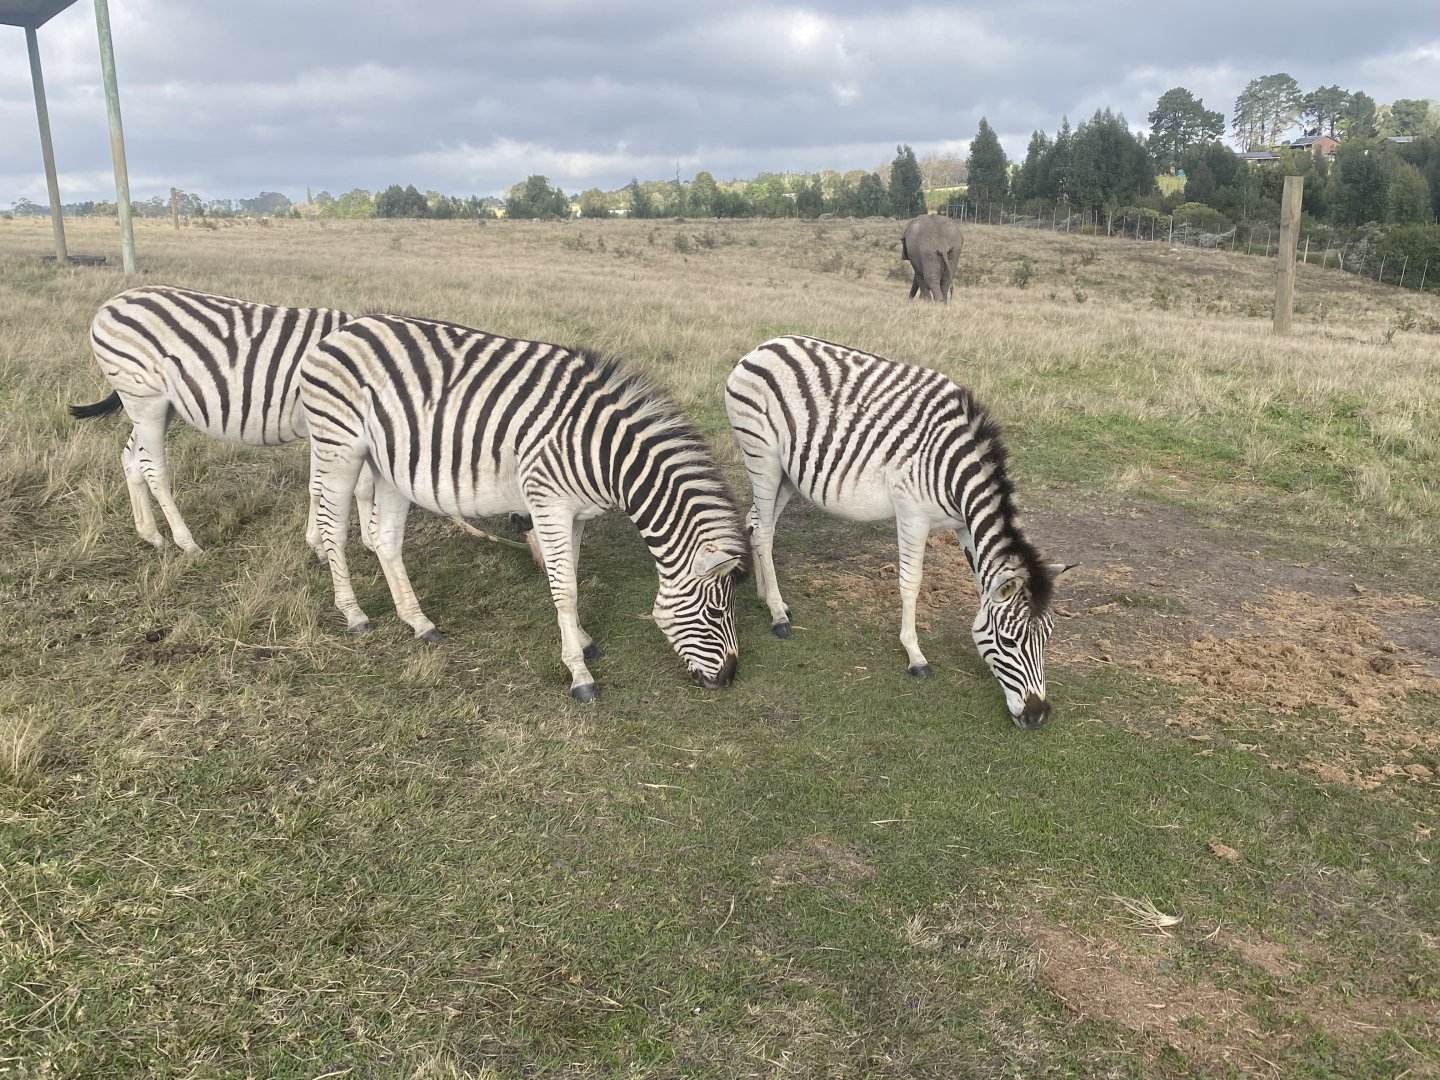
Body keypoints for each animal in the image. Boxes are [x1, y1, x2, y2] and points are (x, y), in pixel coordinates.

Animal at [70, 285, 356, 556]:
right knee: (154, 470)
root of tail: (110, 304)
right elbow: (325, 487)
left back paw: (151, 535)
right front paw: (321, 546)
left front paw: (320, 543)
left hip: (155, 406)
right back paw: (187, 543)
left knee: (132, 459)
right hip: (145, 401)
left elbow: (321, 486)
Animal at [298, 314, 747, 700]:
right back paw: (354, 614)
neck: (603, 453)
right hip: (340, 448)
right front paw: (579, 674)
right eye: (714, 612)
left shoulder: (575, 513)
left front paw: (583, 639)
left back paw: (419, 623)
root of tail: (342, 330)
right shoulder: (548, 504)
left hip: (389, 467)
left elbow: (571, 576)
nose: (729, 677)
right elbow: (564, 589)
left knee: (387, 542)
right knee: (333, 530)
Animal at [724, 334, 1071, 730]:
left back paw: (770, 597)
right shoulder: (912, 514)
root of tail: (765, 344)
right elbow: (911, 582)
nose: (1037, 715)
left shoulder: (964, 526)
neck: (955, 474)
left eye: (1047, 638)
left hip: (785, 471)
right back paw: (777, 616)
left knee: (756, 523)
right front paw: (915, 656)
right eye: (1009, 642)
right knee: (765, 531)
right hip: (761, 457)